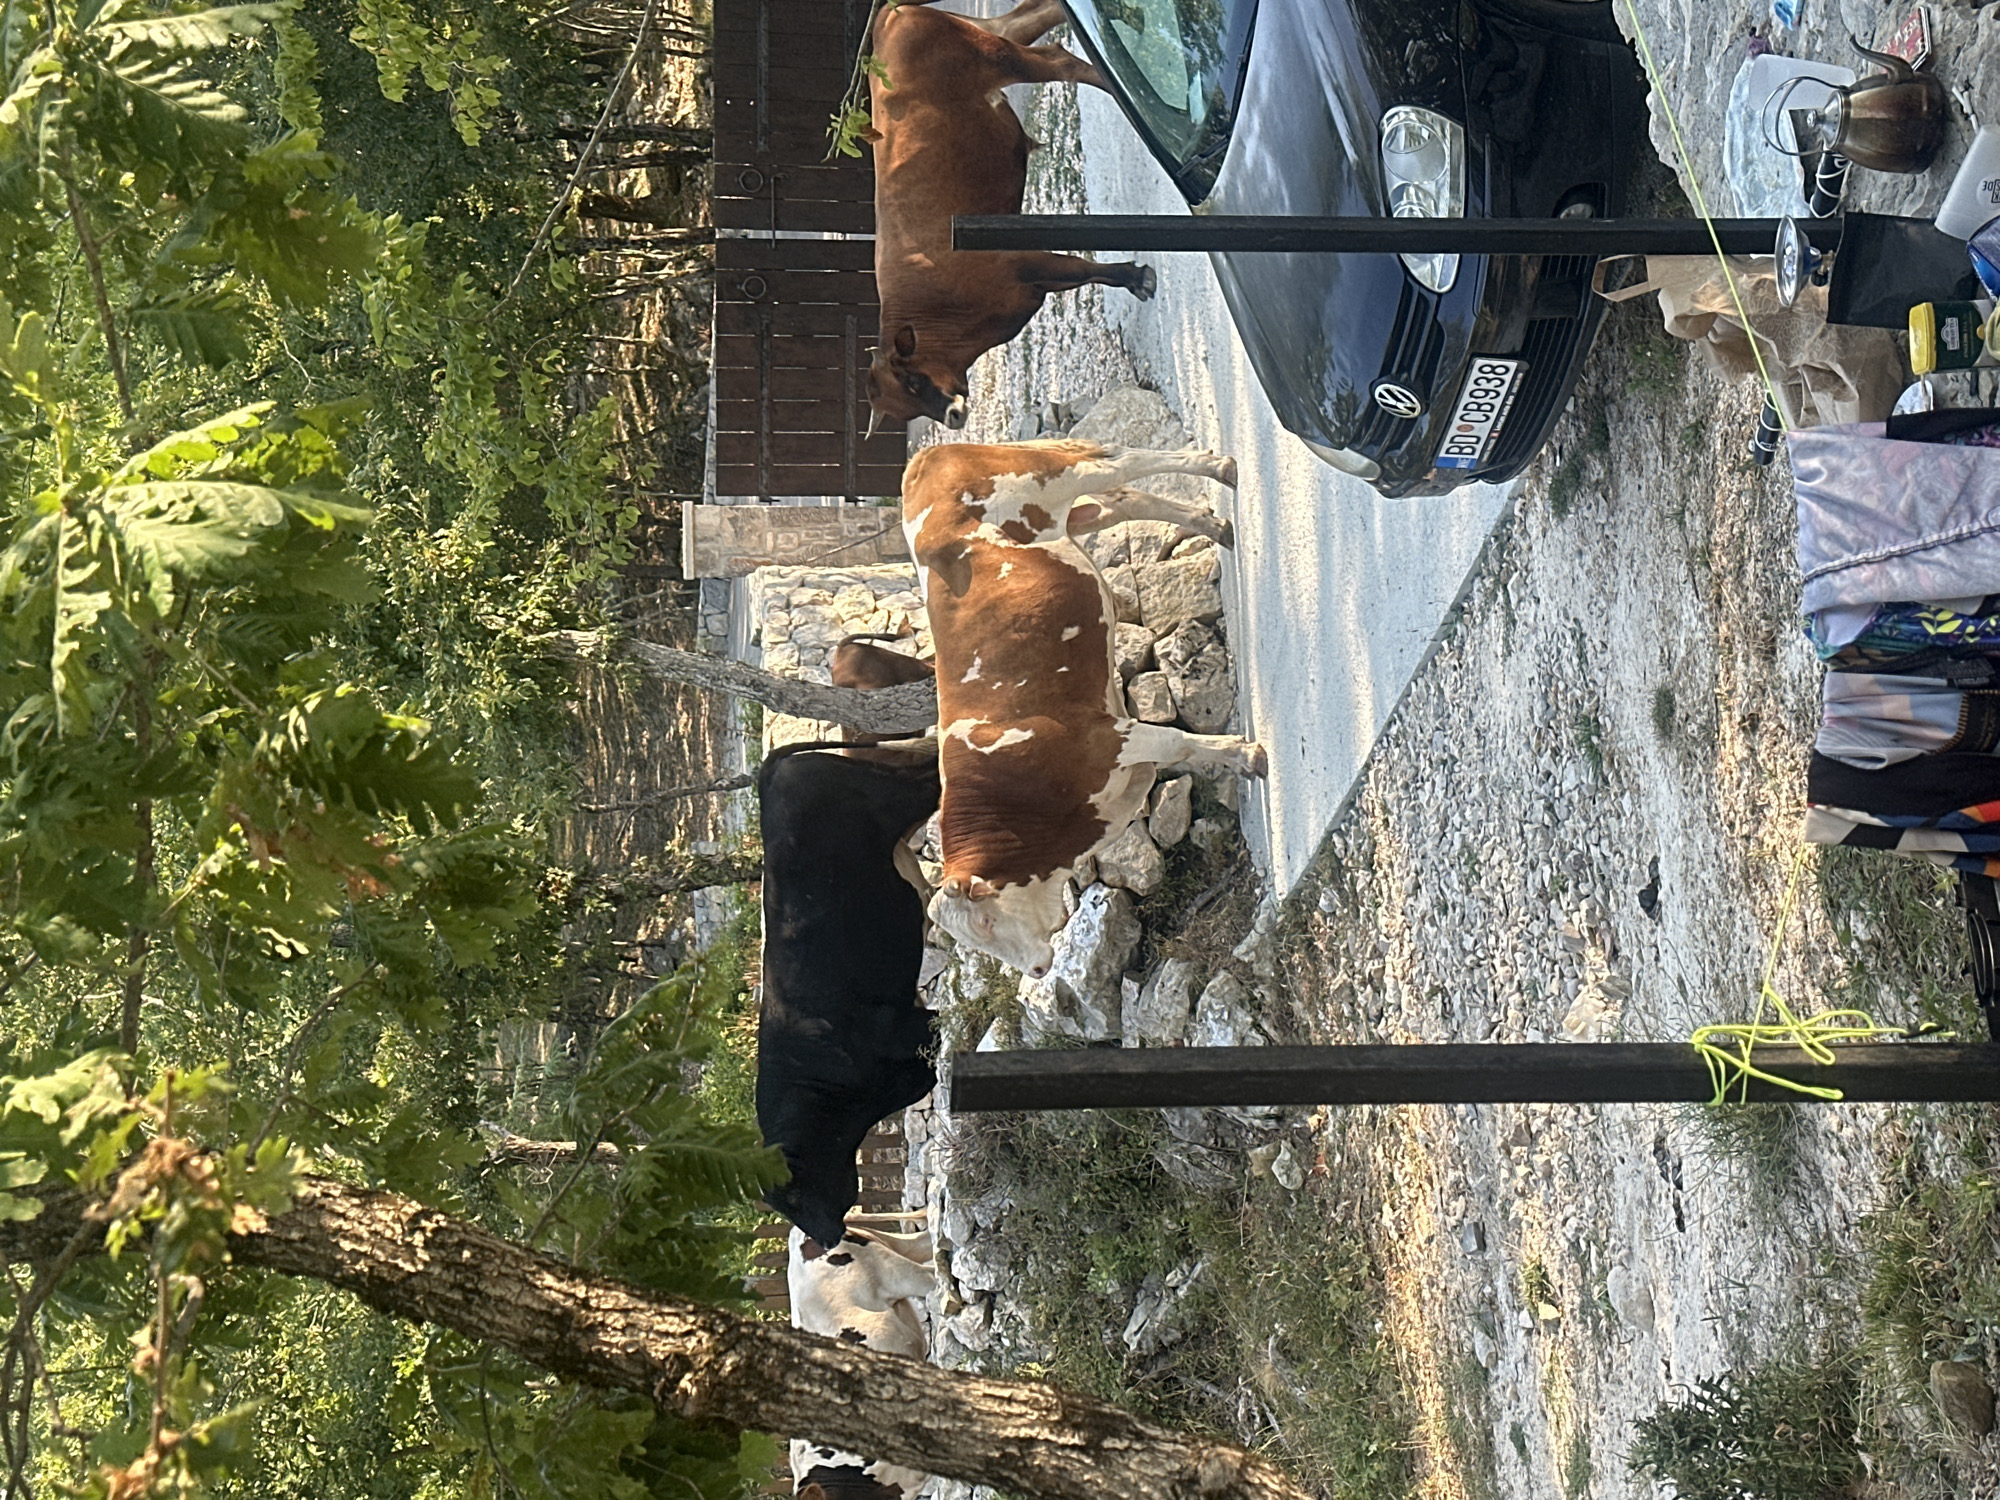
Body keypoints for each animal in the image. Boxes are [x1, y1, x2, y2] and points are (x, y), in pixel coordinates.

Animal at [757, 742, 942, 1248]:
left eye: (794, 1194)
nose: (827, 1240)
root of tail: (775, 771)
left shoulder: (911, 1028)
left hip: (900, 797)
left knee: (932, 771)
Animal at [866, 0, 1155, 432]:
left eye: (913, 380)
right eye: (908, 408)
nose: (953, 417)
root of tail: (889, 19)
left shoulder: (1021, 259)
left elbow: (1083, 268)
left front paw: (1137, 278)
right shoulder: (1031, 282)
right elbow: (1086, 275)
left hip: (1000, 57)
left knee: (1060, 61)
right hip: (990, 34)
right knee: (1026, 19)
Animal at [902, 439, 1267, 976]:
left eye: (985, 923)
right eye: (978, 944)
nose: (1036, 970)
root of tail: (921, 461)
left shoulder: (1106, 737)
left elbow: (1176, 742)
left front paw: (1247, 756)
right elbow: (1180, 753)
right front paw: (1231, 763)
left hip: (1053, 475)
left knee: (1121, 465)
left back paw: (1219, 467)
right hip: (1068, 519)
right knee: (1122, 500)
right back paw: (1212, 524)